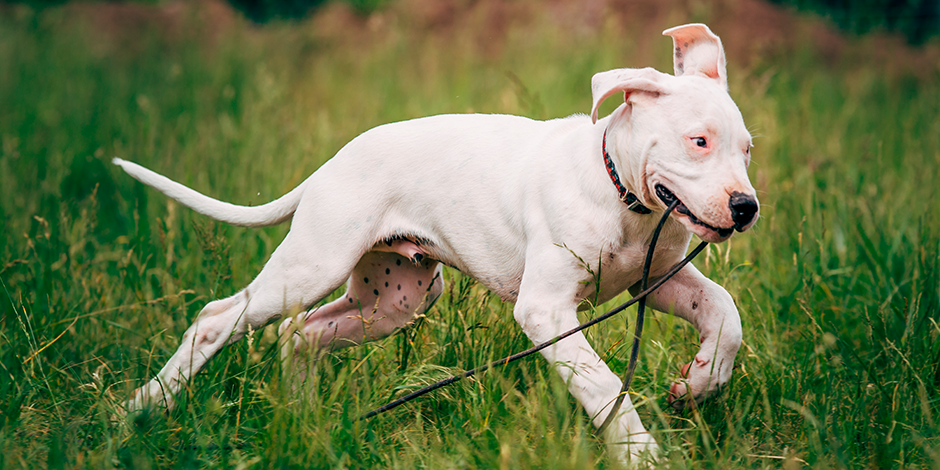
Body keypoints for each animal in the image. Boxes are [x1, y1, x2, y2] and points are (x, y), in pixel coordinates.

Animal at [114, 23, 757, 461]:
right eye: (698, 141)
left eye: (747, 149)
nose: (746, 207)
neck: (622, 194)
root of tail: (331, 163)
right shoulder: (547, 311)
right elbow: (604, 386)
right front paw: (639, 453)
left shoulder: (656, 279)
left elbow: (724, 312)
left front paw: (699, 383)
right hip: (313, 266)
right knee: (217, 319)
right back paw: (140, 411)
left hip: (395, 299)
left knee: (304, 332)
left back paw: (302, 419)